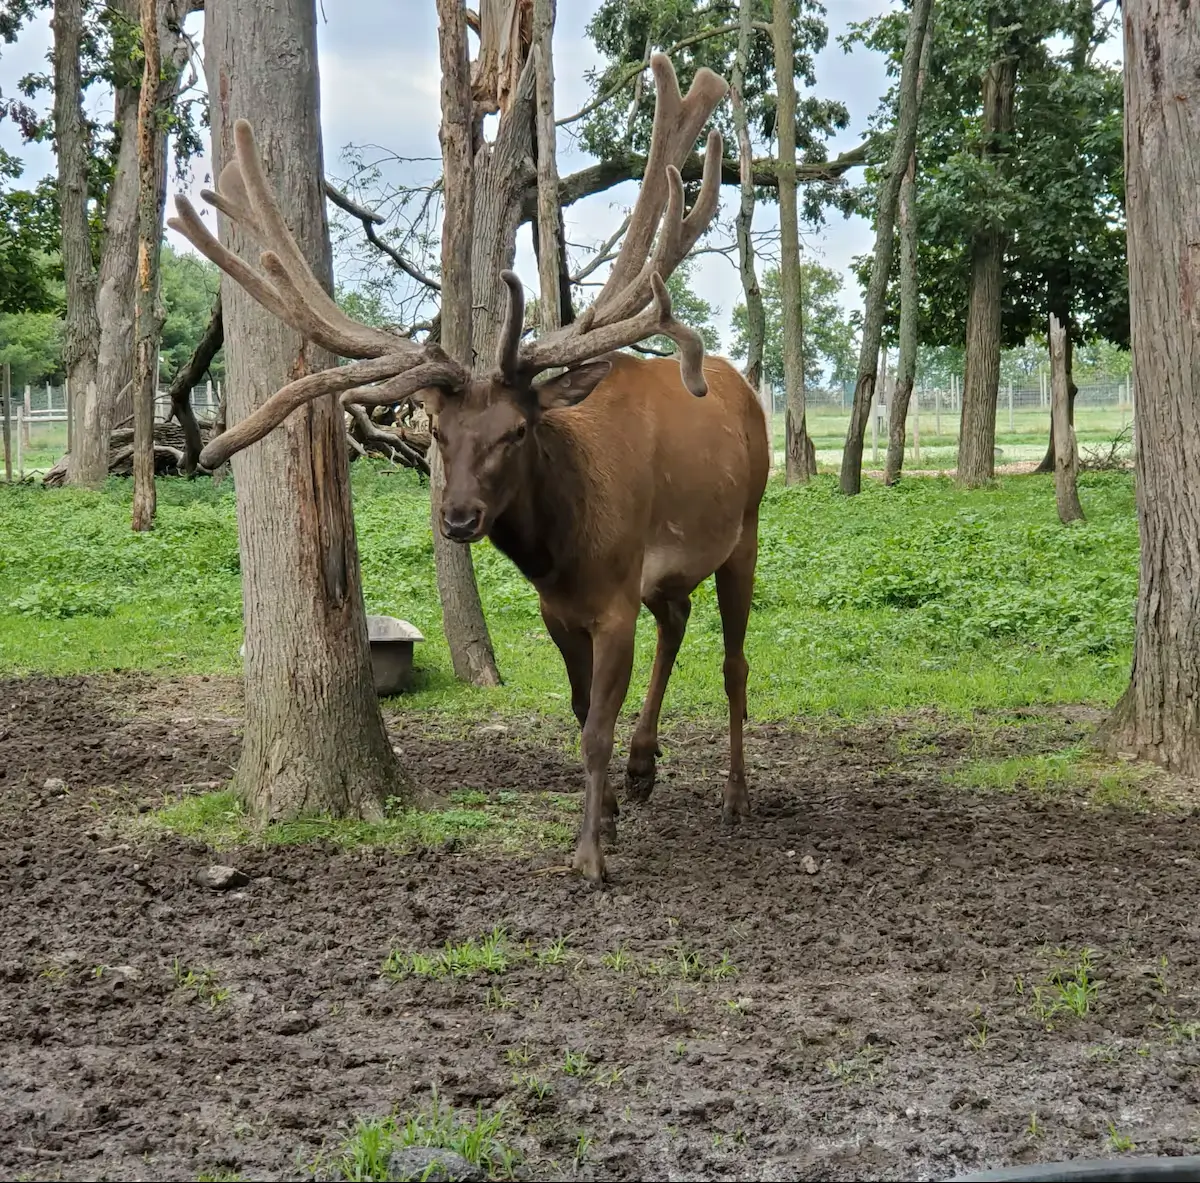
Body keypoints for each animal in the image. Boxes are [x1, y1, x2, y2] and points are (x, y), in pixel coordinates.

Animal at [170, 53, 769, 884]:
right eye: (437, 432)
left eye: (517, 430)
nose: (457, 516)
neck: (568, 550)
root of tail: (740, 384)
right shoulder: (562, 607)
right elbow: (582, 713)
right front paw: (610, 812)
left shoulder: (614, 600)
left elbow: (595, 726)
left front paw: (590, 852)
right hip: (671, 568)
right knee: (677, 617)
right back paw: (646, 766)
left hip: (746, 526)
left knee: (735, 660)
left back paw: (739, 795)